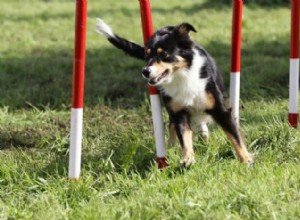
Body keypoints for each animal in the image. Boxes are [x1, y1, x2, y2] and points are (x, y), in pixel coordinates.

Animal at [96, 18, 253, 167]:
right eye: (147, 56)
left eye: (164, 54)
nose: (145, 71)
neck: (182, 75)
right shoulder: (178, 112)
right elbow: (184, 136)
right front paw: (187, 159)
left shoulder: (220, 109)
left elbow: (235, 137)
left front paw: (246, 160)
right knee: (171, 126)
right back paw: (169, 149)